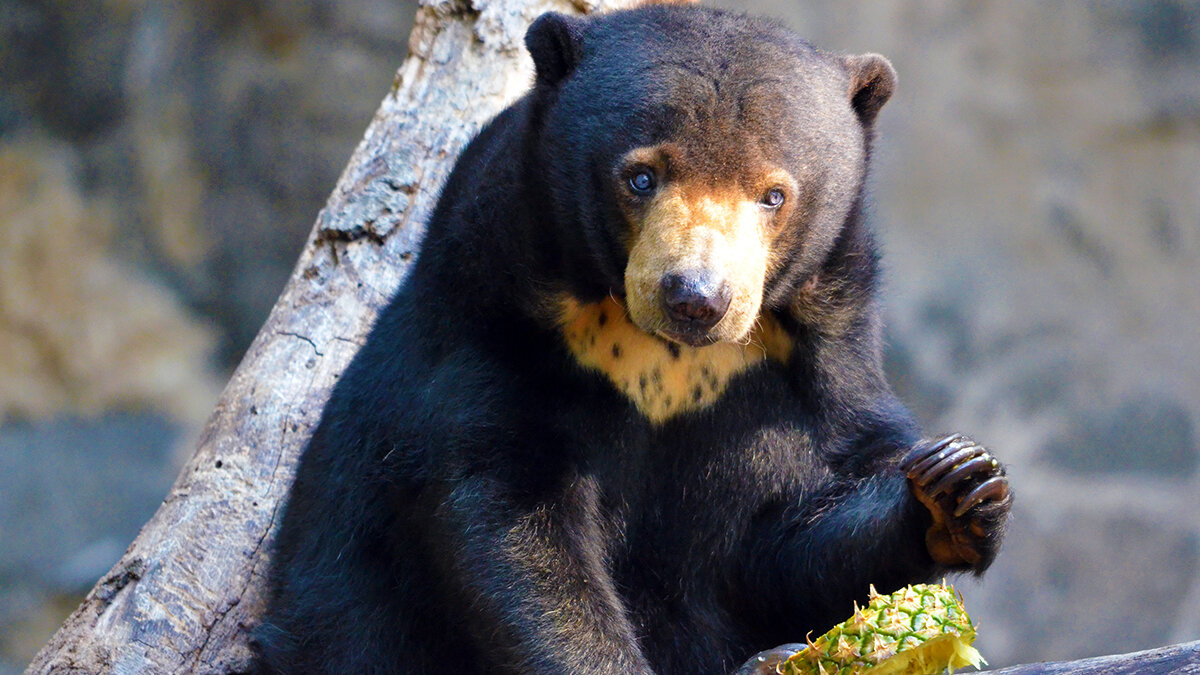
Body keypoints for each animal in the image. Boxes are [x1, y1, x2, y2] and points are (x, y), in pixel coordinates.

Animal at [255, 6, 1012, 672]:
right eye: (640, 176)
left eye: (774, 194)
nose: (696, 298)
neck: (665, 357)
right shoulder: (494, 329)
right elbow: (510, 519)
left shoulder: (814, 353)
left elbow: (791, 526)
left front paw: (959, 484)